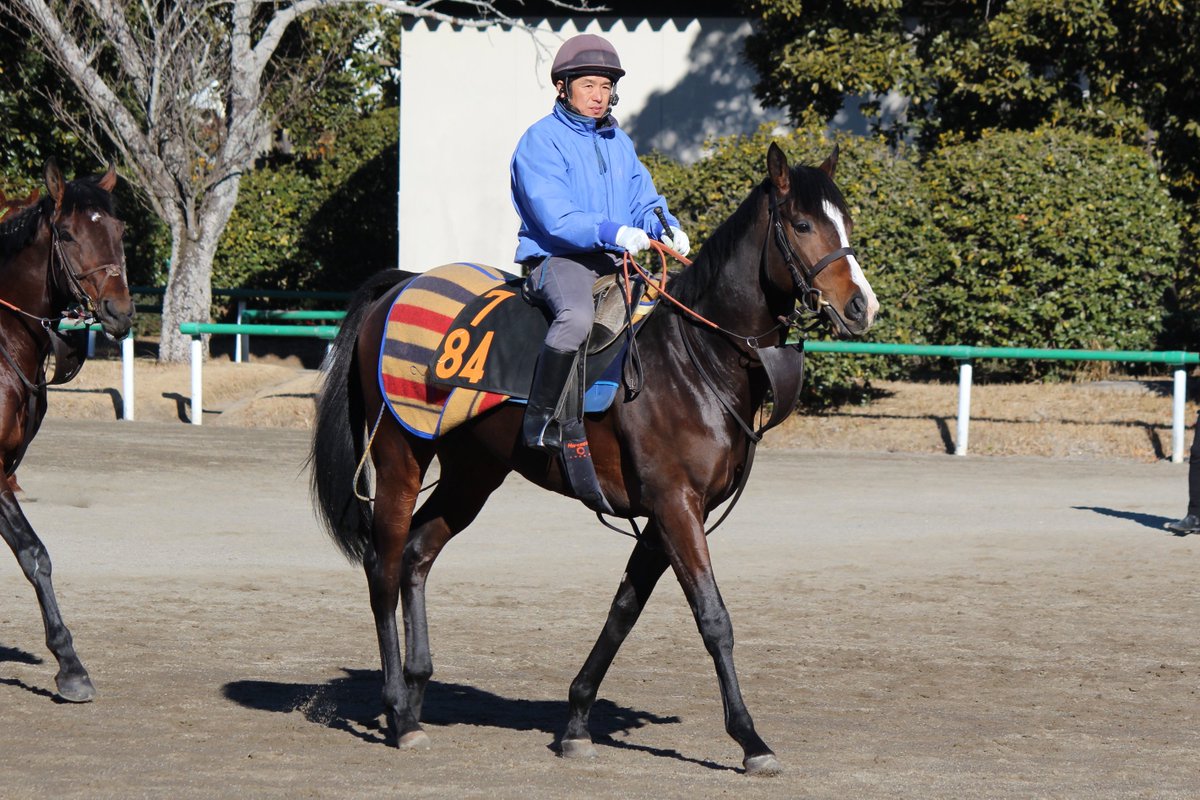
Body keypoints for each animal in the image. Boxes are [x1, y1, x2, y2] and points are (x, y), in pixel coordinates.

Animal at [311, 143, 878, 775]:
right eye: (801, 224)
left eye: (844, 221)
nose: (862, 305)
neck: (690, 358)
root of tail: (402, 286)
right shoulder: (676, 506)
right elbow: (713, 618)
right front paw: (750, 738)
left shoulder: (668, 516)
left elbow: (623, 610)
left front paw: (578, 719)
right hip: (401, 458)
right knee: (382, 566)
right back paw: (398, 711)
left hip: (473, 475)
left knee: (416, 555)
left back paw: (415, 692)